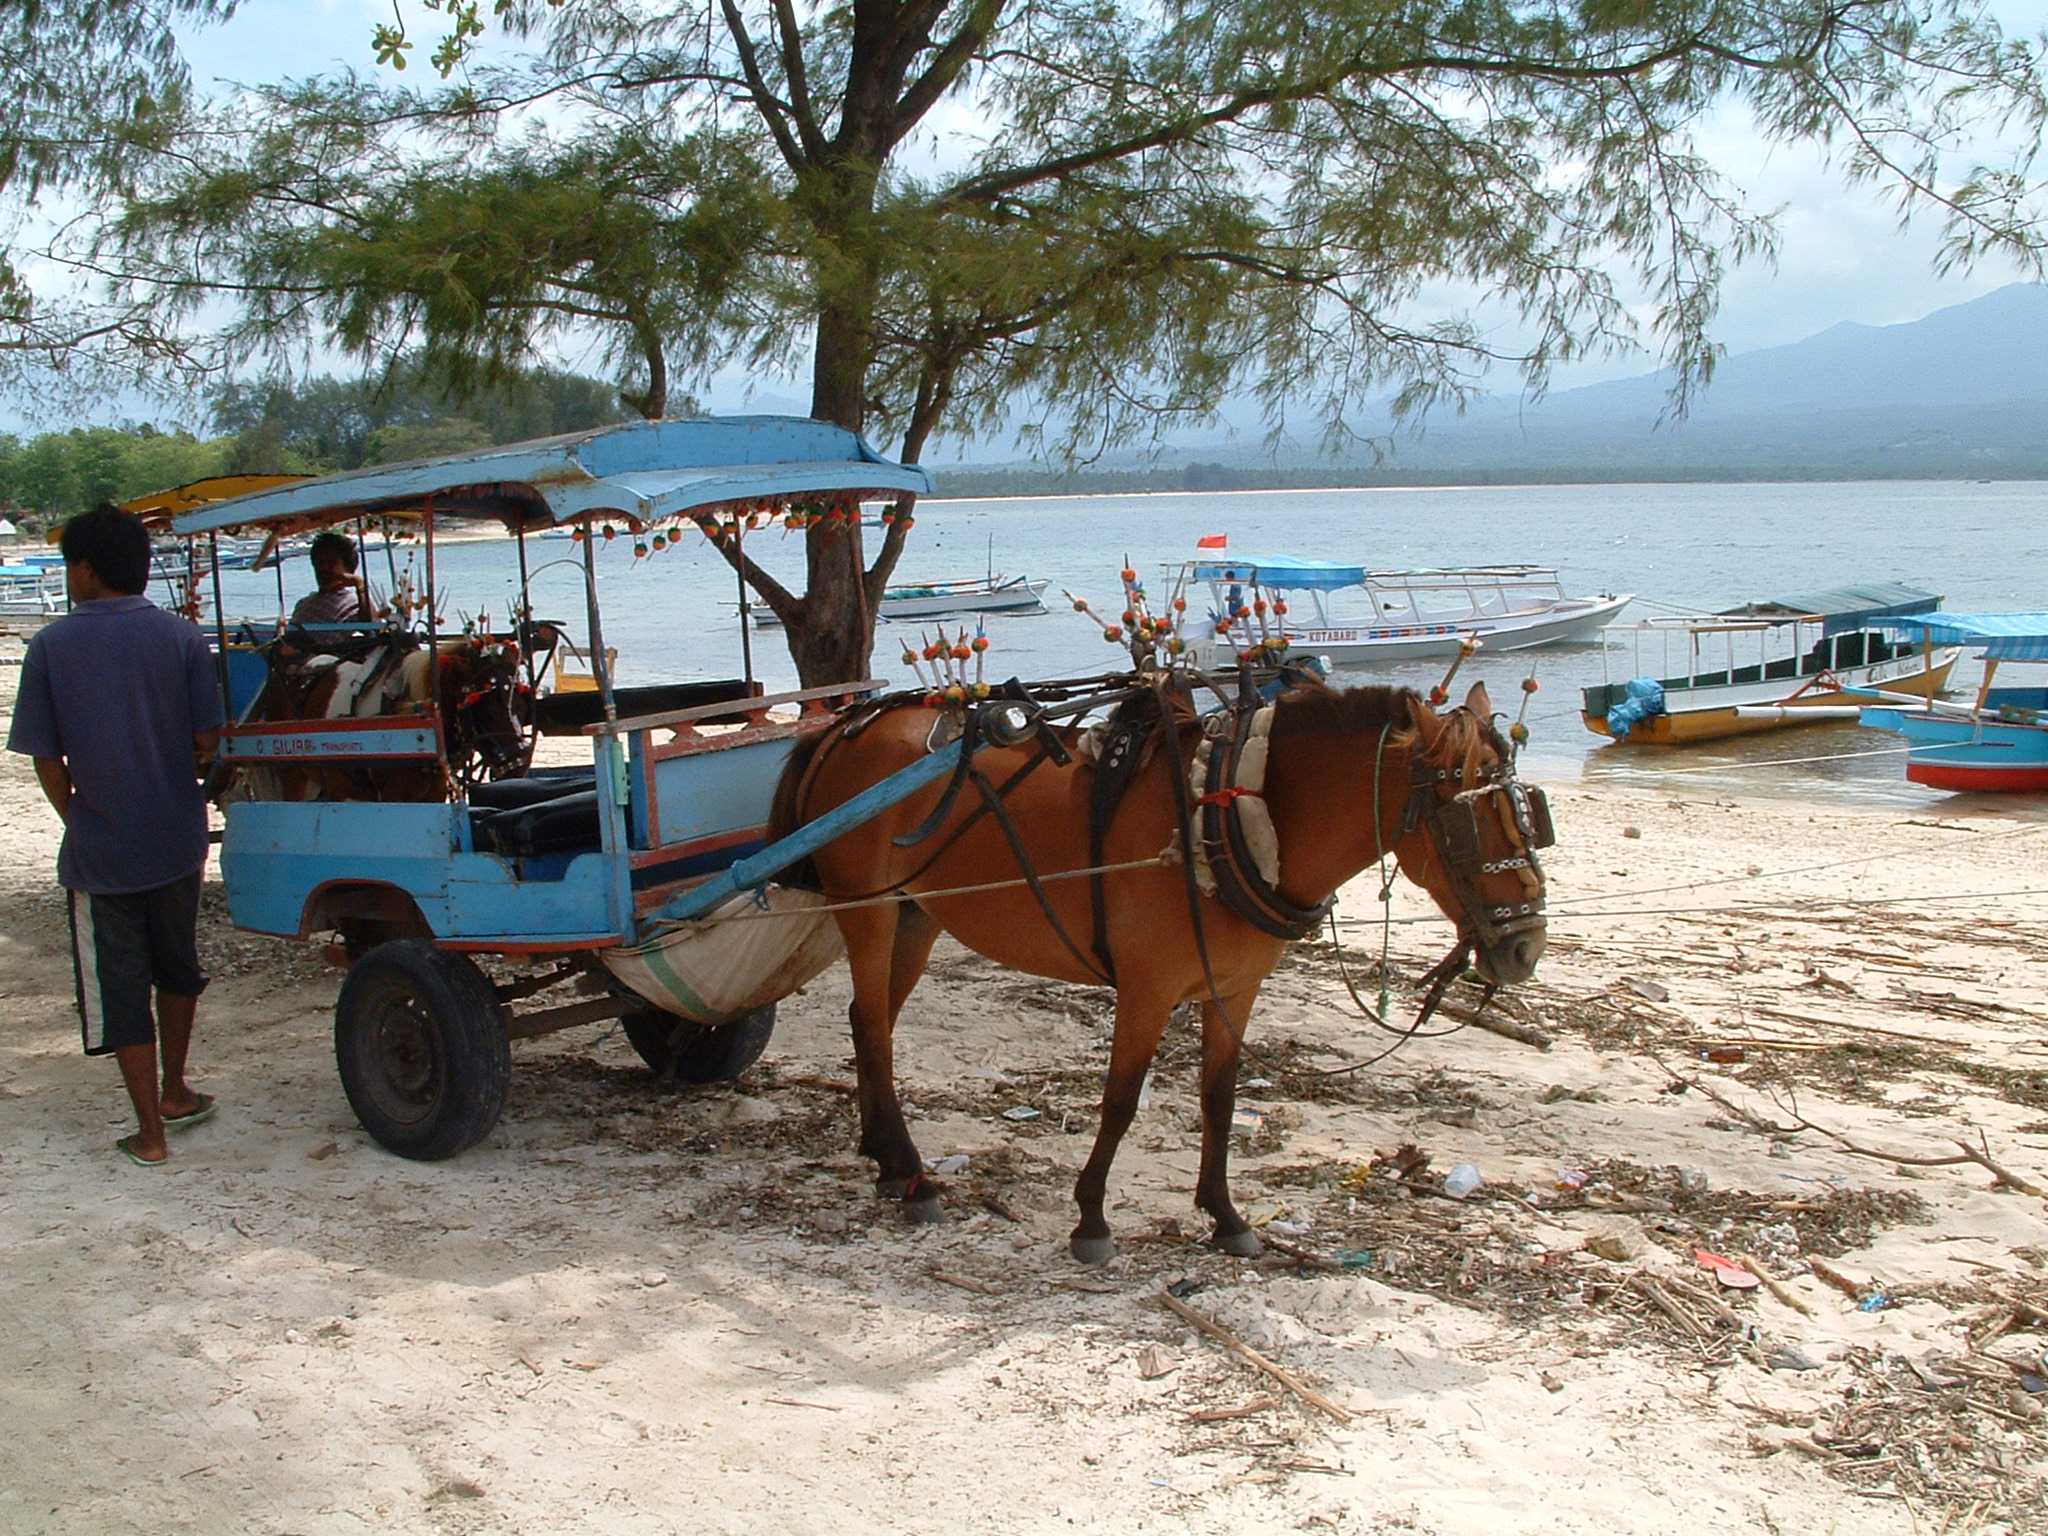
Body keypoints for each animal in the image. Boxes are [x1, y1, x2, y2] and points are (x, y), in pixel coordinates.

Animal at [770, 679, 1548, 1269]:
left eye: (1529, 810)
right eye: (1468, 821)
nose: (1525, 948)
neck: (1229, 816)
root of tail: (849, 726)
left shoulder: (1235, 991)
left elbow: (1220, 1100)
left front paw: (1226, 1216)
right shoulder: (1146, 992)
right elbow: (1121, 1102)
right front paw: (1090, 1219)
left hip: (916, 916)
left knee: (870, 1025)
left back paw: (887, 1158)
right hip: (869, 911)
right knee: (874, 1029)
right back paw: (912, 1173)